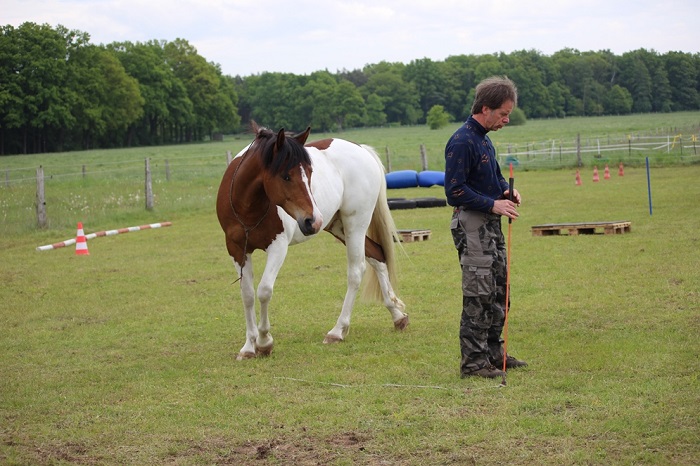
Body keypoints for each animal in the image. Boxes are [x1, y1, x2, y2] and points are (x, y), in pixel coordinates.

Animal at [216, 122, 408, 358]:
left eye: (309, 172)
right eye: (286, 176)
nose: (313, 220)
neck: (248, 207)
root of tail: (361, 149)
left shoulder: (278, 247)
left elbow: (264, 291)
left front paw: (264, 341)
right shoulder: (237, 250)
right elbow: (248, 295)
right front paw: (249, 346)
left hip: (355, 224)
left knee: (356, 271)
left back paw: (337, 330)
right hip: (338, 226)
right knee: (378, 255)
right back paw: (397, 315)